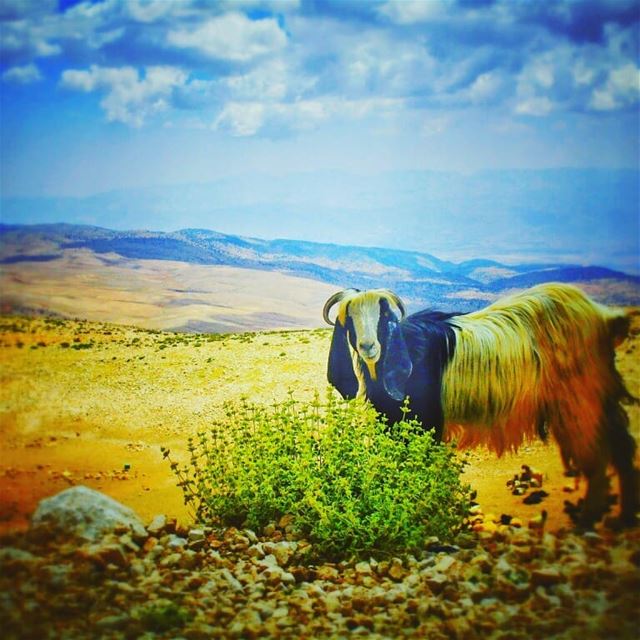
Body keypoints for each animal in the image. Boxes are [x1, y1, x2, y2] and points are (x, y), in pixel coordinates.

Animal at [324, 282, 640, 528]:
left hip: (581, 399)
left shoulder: (428, 425)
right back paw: (620, 517)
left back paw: (591, 518)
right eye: (349, 319)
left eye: (383, 316)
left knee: (599, 453)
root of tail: (602, 316)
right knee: (619, 447)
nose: (368, 347)